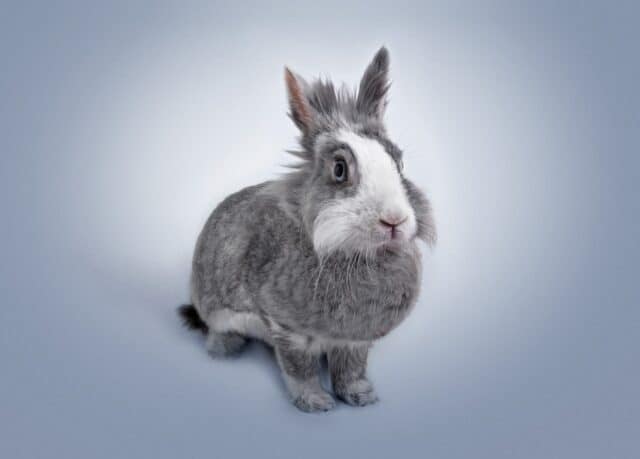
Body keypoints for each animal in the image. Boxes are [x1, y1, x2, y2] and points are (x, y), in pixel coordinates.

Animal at [179, 47, 436, 412]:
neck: (354, 253)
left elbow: (351, 368)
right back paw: (226, 352)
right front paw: (316, 403)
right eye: (339, 169)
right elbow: (299, 368)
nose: (394, 221)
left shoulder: (354, 340)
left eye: (399, 162)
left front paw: (361, 396)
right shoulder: (287, 330)